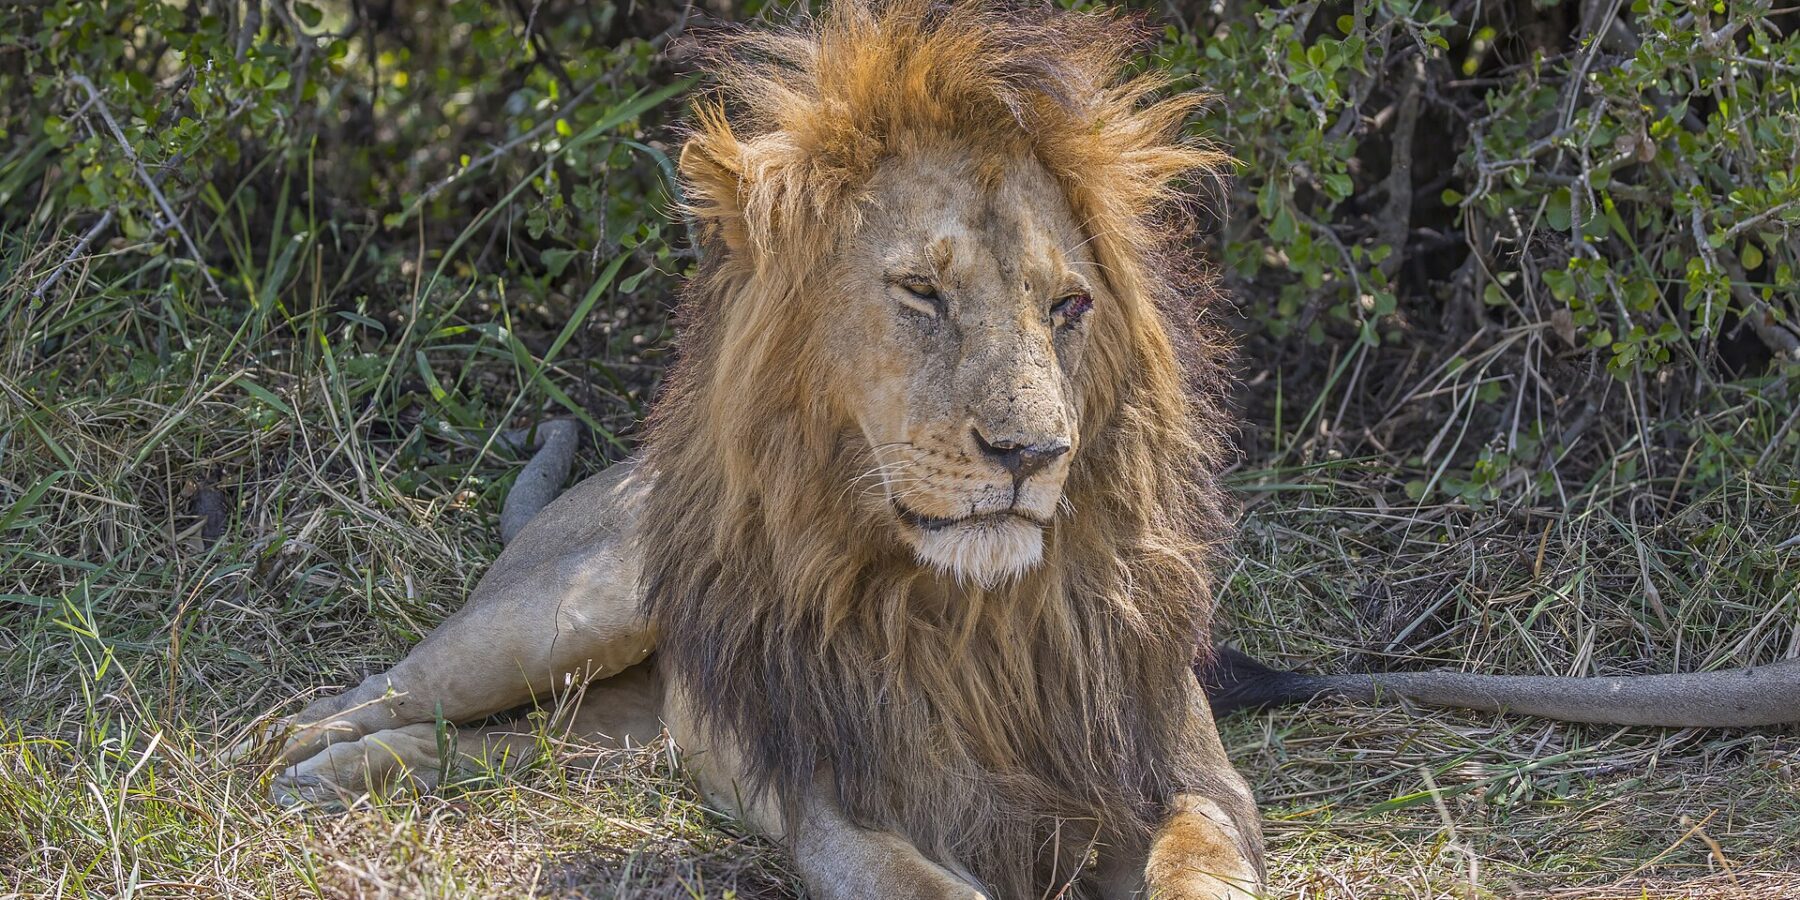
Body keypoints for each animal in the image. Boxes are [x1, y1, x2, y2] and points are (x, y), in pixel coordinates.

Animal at [245, 2, 1265, 897]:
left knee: (510, 748)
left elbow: (1198, 863)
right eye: (921, 292)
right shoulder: (842, 814)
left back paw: (364, 768)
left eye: (1069, 306)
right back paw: (294, 754)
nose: (1033, 453)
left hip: (621, 733)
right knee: (386, 688)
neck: (978, 621)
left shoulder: (1195, 784)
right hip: (563, 616)